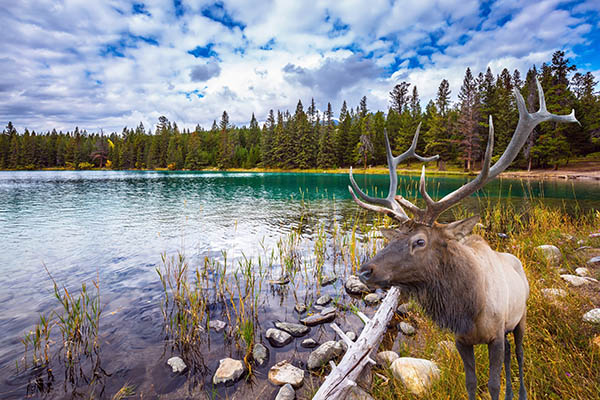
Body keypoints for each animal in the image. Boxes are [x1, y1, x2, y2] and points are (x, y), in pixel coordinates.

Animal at [350, 79, 580, 400]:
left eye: (420, 241)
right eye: (396, 236)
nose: (365, 270)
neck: (468, 310)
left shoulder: (495, 335)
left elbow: (492, 384)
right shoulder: (462, 340)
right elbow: (471, 383)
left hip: (520, 318)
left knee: (520, 355)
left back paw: (520, 392)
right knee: (510, 358)